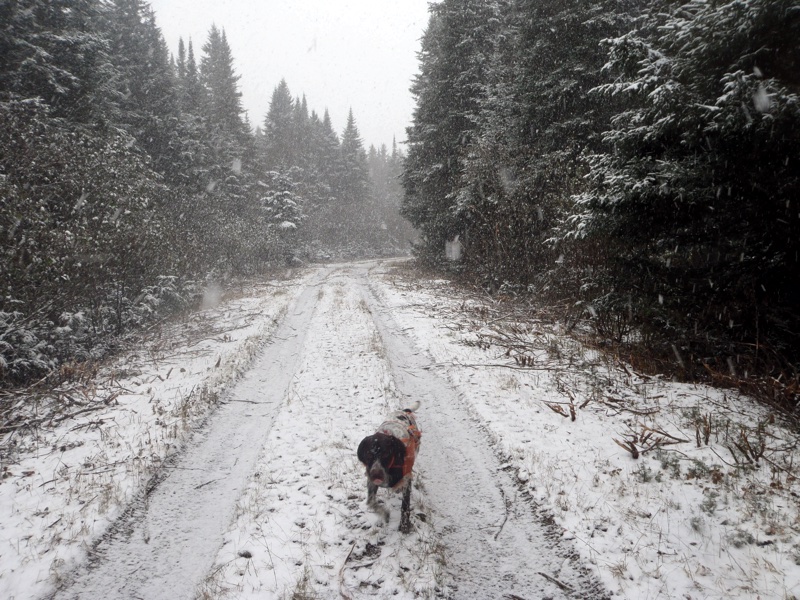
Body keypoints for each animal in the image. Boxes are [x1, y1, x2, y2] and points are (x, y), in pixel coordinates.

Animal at [354, 400, 418, 532]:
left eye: (386, 454)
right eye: (368, 455)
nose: (377, 475)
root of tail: (404, 411)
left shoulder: (406, 479)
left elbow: (405, 506)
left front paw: (404, 526)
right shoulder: (371, 481)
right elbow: (371, 502)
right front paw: (385, 514)